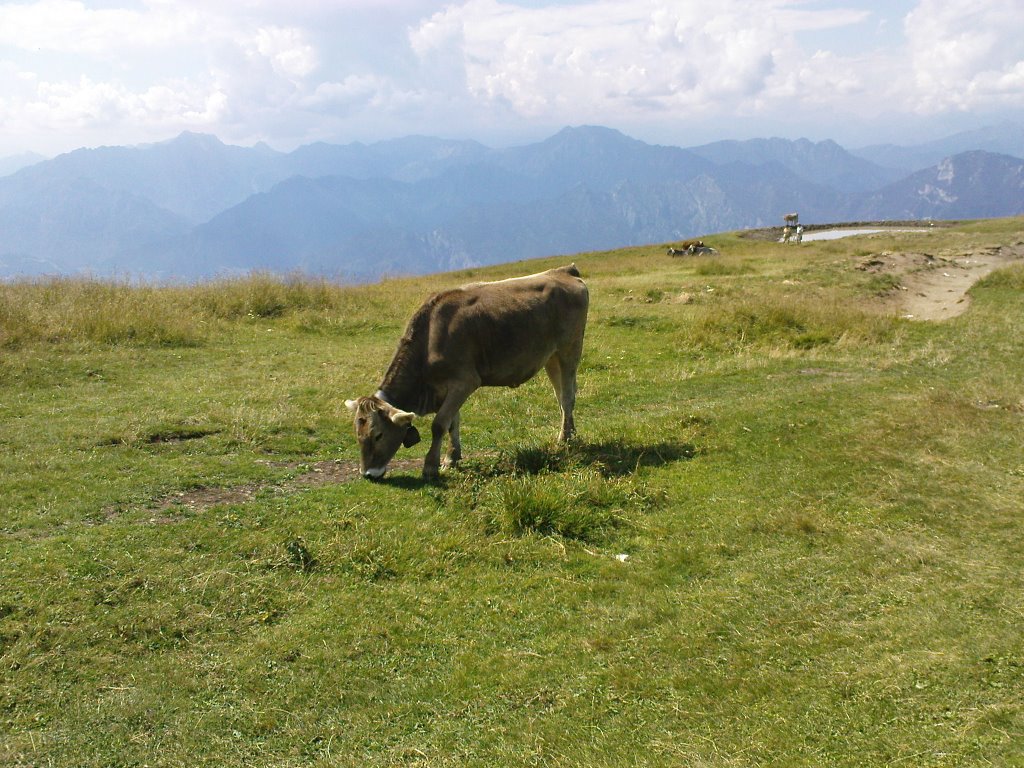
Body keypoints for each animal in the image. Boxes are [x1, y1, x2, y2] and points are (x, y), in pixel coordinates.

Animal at [346, 264, 589, 481]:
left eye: (378, 435)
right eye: (357, 434)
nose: (368, 474)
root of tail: (563, 271)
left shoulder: (465, 381)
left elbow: (439, 424)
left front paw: (430, 466)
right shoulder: (448, 388)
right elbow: (453, 422)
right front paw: (451, 458)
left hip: (570, 349)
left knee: (567, 396)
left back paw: (564, 439)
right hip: (551, 357)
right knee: (561, 394)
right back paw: (570, 433)